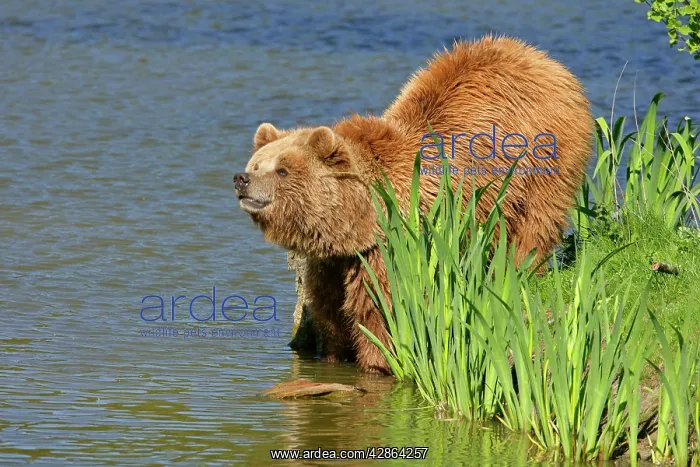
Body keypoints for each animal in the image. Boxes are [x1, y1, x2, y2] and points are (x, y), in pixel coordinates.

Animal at [233, 35, 593, 374]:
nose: (241, 179)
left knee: (534, 225)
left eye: (282, 170)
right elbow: (330, 309)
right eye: (257, 164)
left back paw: (519, 269)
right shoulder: (332, 261)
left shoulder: (392, 245)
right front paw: (333, 353)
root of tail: (541, 58)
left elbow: (381, 308)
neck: (355, 220)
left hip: (541, 156)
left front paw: (378, 359)